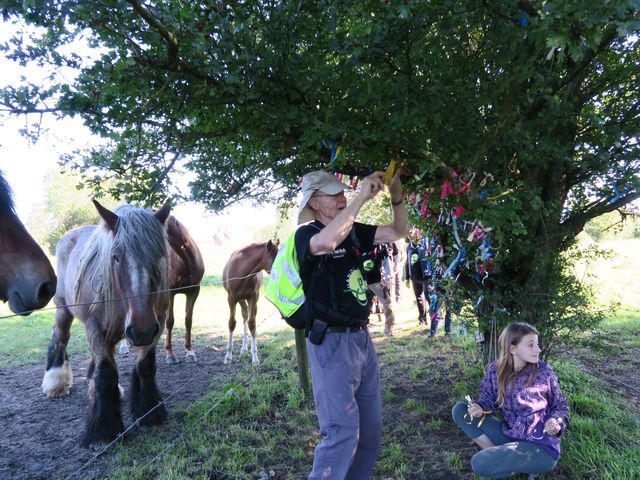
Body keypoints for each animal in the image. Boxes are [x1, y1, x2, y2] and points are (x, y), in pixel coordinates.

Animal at [42, 199, 172, 446]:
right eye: (116, 257)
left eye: (159, 255)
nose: (141, 331)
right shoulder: (96, 328)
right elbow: (105, 375)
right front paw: (103, 431)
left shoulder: (157, 323)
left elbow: (145, 366)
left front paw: (149, 412)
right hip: (63, 310)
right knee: (60, 337)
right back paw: (55, 382)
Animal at [222, 238, 278, 366]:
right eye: (274, 257)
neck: (242, 274)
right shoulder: (231, 298)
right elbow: (231, 323)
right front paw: (228, 356)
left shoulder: (253, 297)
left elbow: (252, 323)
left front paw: (255, 358)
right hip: (241, 300)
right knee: (244, 316)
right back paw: (243, 349)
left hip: (251, 300)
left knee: (249, 318)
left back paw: (249, 346)